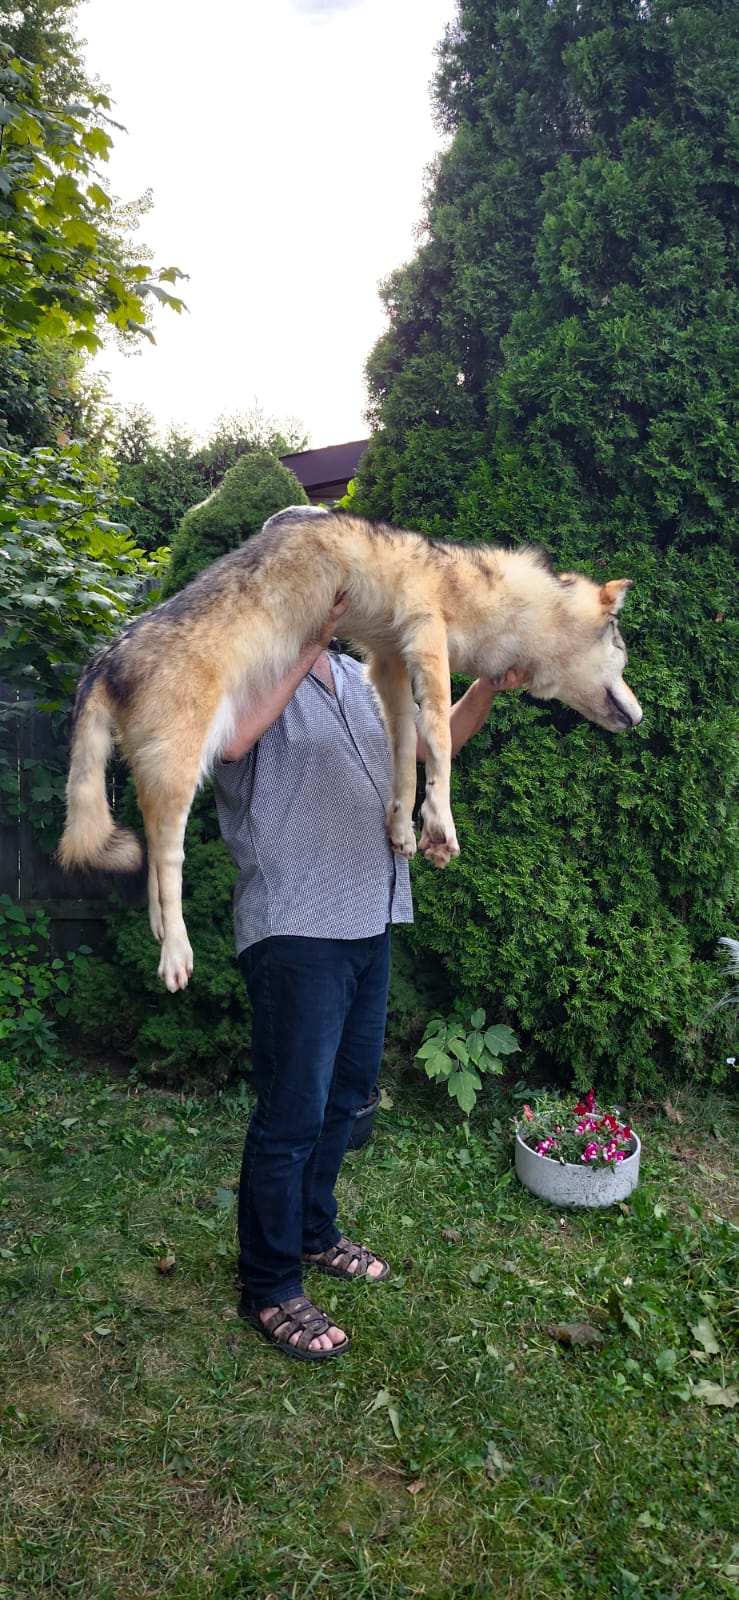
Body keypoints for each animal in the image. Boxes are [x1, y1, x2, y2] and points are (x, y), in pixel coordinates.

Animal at [58, 506, 642, 992]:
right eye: (623, 650)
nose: (640, 717)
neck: (496, 598)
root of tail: (103, 658)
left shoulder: (389, 666)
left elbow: (406, 757)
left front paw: (403, 829)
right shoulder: (427, 634)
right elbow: (440, 744)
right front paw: (439, 825)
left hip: (159, 777)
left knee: (154, 859)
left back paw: (159, 927)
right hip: (184, 770)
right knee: (167, 857)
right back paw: (175, 950)